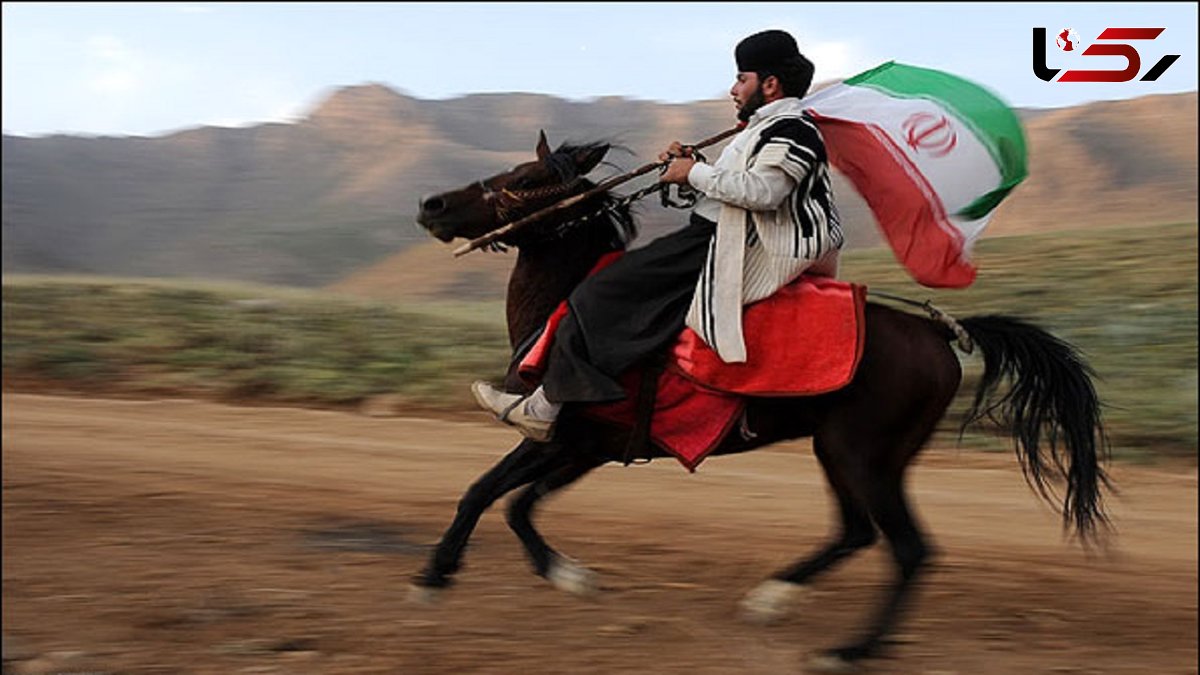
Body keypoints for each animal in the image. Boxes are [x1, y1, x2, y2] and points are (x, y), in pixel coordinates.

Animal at [412, 131, 1104, 667]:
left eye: (526, 179)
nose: (432, 203)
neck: (567, 306)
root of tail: (938, 332)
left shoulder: (566, 438)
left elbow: (484, 492)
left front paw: (436, 576)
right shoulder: (586, 449)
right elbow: (517, 504)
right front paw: (569, 576)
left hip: (861, 453)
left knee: (908, 549)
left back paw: (850, 650)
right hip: (850, 453)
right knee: (857, 532)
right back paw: (774, 599)